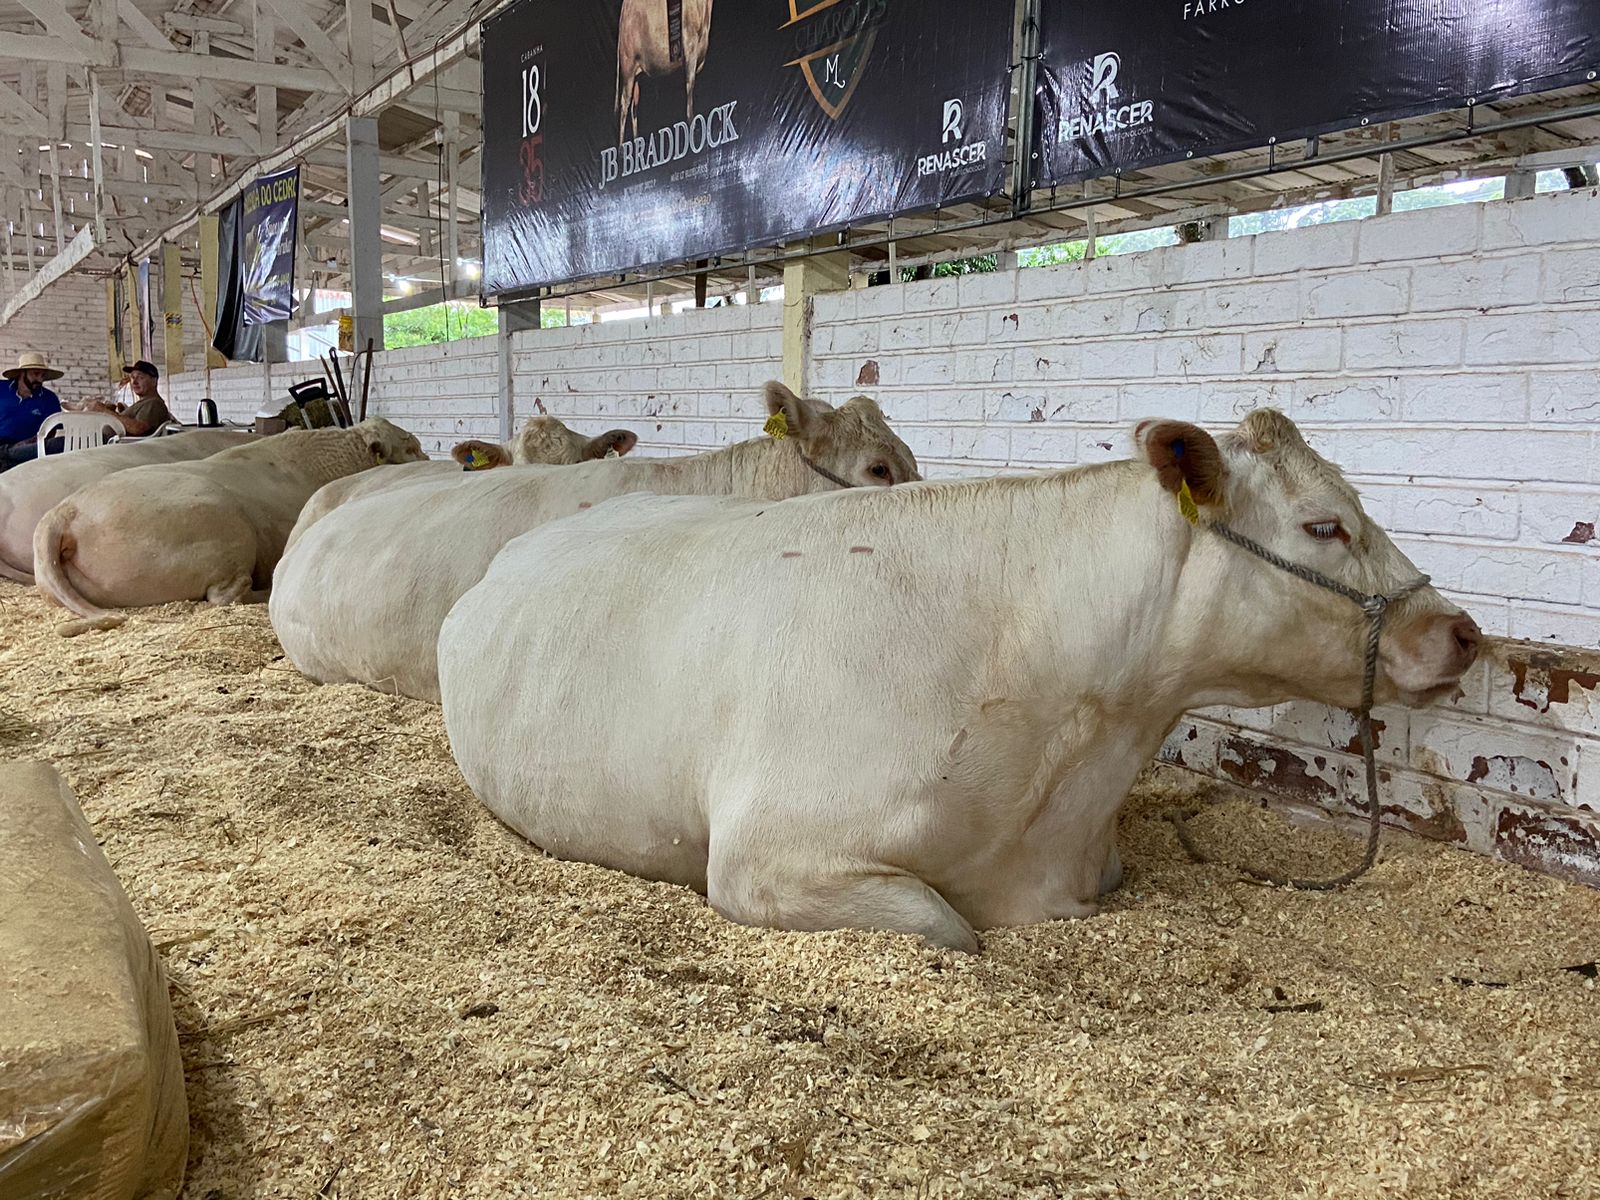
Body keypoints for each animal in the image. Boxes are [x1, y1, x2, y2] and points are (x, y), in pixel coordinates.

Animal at [617, 0, 714, 144]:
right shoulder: (690, 47)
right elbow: (689, 87)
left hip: (637, 76)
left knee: (634, 108)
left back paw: (636, 143)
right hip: (628, 68)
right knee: (624, 104)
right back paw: (621, 148)